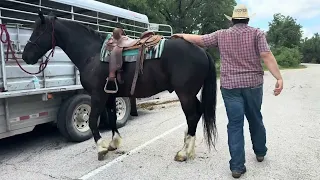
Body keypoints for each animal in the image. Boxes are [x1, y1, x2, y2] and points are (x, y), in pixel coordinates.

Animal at [21, 12, 218, 162]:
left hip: (184, 93)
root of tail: (202, 51)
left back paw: (183, 152)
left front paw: (101, 149)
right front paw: (113, 143)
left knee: (192, 116)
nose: (25, 56)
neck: (91, 54)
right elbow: (112, 118)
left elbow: (92, 120)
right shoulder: (109, 95)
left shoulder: (97, 95)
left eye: (39, 31)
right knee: (197, 113)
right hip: (190, 94)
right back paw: (188, 148)